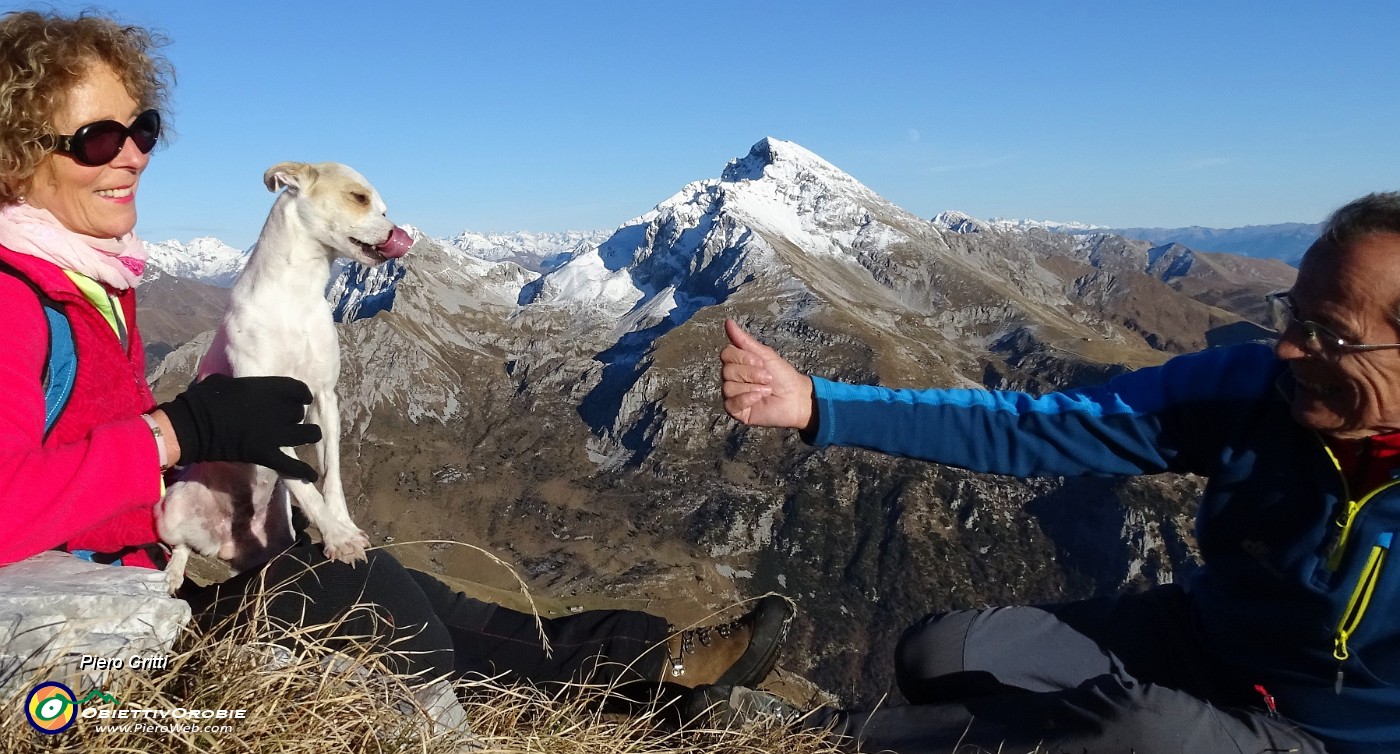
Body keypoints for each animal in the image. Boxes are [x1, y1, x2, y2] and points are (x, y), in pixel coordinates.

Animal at [158, 162, 411, 593]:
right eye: (359, 198)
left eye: (383, 207)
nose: (400, 235)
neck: (294, 298)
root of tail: (224, 544)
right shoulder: (265, 424)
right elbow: (303, 482)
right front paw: (338, 538)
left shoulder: (324, 399)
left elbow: (330, 476)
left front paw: (342, 527)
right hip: (170, 510)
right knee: (180, 546)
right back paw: (173, 574)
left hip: (278, 538)